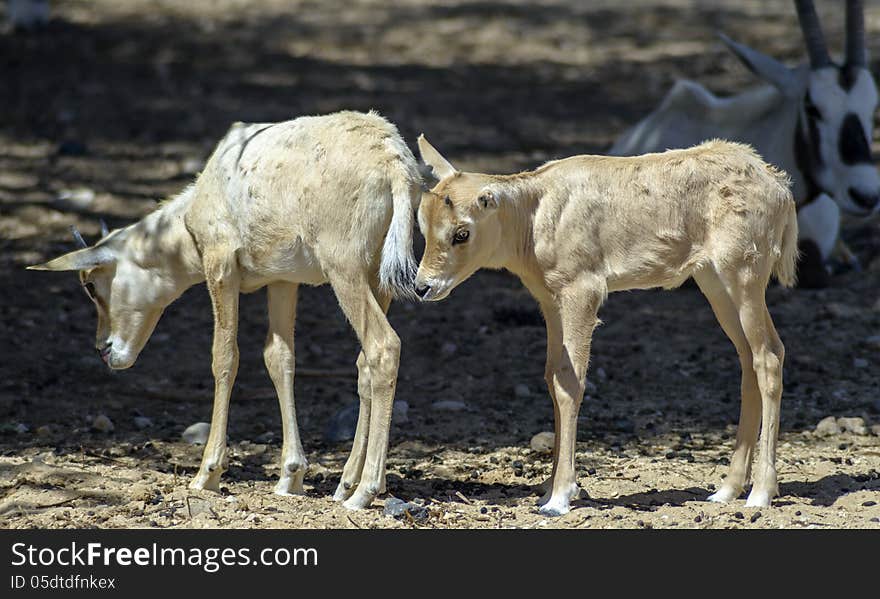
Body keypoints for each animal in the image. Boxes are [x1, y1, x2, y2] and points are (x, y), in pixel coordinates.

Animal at [29, 110, 422, 508]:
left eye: (91, 286)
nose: (105, 350)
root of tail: (393, 160)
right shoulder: (283, 280)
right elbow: (279, 358)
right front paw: (289, 477)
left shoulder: (220, 265)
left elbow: (224, 357)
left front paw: (207, 474)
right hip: (376, 276)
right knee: (364, 363)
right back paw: (345, 485)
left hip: (344, 269)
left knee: (383, 346)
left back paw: (364, 491)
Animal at [416, 136, 800, 516]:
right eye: (422, 224)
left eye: (461, 233)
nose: (423, 287)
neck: (535, 216)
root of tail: (779, 184)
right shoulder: (550, 301)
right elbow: (552, 377)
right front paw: (547, 491)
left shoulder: (582, 292)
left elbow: (571, 383)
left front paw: (559, 498)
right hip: (714, 281)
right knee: (748, 359)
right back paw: (725, 490)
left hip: (745, 274)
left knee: (769, 355)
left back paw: (760, 493)